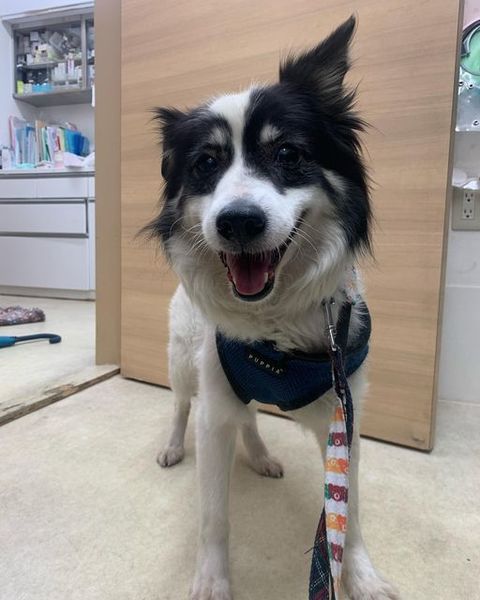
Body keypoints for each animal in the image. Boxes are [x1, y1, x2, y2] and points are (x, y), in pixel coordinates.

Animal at [146, 15, 399, 600]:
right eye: (205, 164)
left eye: (286, 154)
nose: (237, 222)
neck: (276, 323)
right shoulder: (214, 406)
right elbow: (214, 515)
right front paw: (212, 582)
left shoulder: (344, 415)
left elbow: (348, 511)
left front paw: (362, 576)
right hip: (183, 361)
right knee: (182, 405)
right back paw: (172, 446)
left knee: (250, 420)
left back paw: (260, 456)